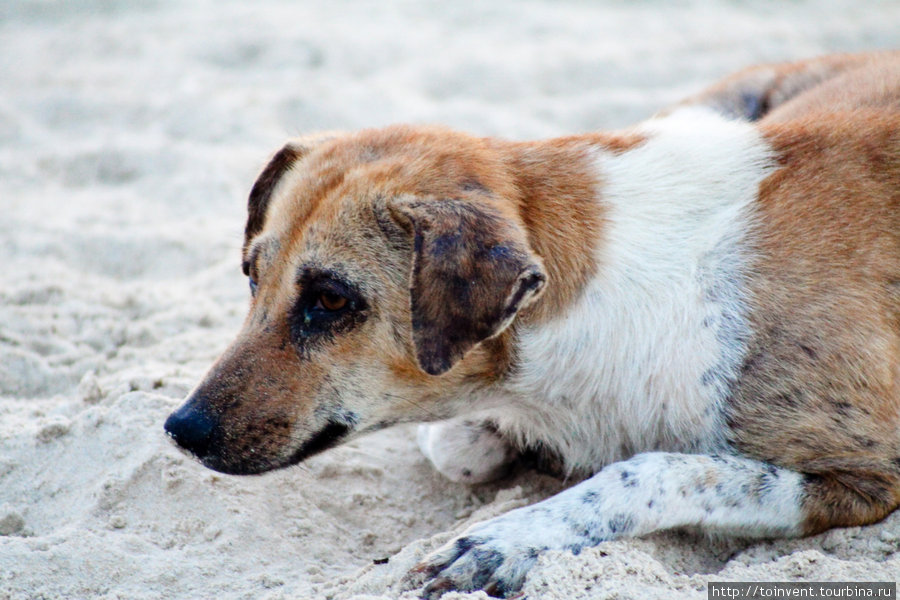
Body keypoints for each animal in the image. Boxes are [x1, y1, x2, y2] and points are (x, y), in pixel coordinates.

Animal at [165, 50, 900, 596]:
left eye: (333, 300)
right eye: (251, 274)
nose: (179, 430)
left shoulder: (870, 473)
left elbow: (657, 470)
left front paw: (504, 541)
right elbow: (462, 443)